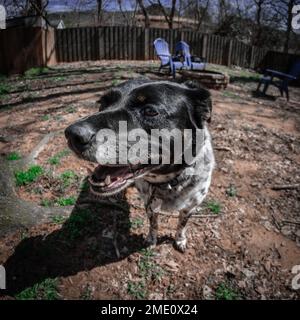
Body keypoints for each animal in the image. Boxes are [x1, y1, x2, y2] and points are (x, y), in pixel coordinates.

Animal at [65, 78, 214, 252]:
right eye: (103, 103)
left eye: (150, 111)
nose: (72, 135)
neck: (168, 183)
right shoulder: (149, 205)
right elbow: (153, 224)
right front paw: (151, 239)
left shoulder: (189, 207)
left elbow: (182, 225)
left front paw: (180, 239)